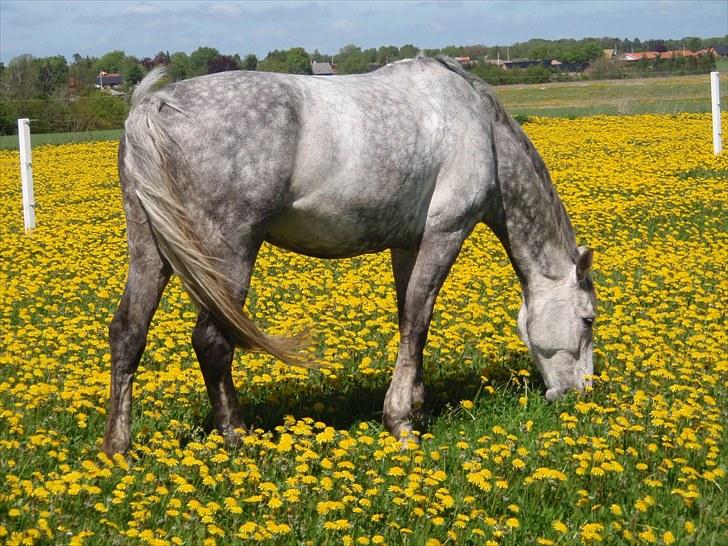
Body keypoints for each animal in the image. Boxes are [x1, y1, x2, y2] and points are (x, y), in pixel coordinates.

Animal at [105, 56, 600, 454]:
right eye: (589, 319)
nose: (580, 395)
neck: (480, 128)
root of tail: (154, 106)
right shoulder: (446, 232)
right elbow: (418, 322)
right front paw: (400, 422)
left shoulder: (408, 244)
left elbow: (409, 320)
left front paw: (417, 406)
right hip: (227, 254)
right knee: (212, 342)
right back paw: (237, 436)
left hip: (150, 252)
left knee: (128, 333)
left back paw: (118, 447)